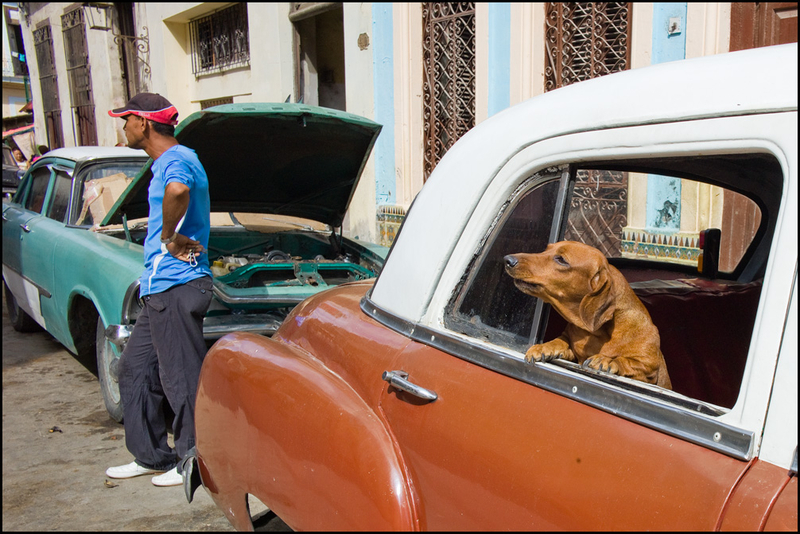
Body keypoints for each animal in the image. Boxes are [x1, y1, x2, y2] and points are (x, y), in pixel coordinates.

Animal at [506, 242, 668, 390]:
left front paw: (609, 361)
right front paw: (544, 347)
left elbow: (628, 361)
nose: (508, 260)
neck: (601, 332)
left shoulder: (649, 370)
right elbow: (560, 341)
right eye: (546, 249)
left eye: (561, 259)